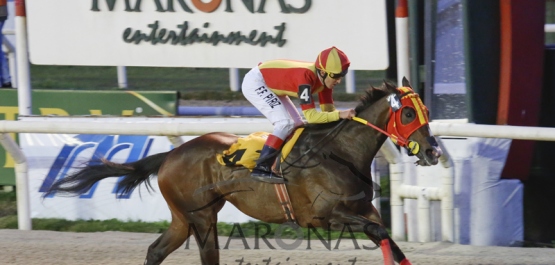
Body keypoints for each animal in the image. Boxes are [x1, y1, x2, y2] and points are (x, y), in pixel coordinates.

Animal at [43, 77, 444, 264]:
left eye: (425, 110)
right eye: (409, 113)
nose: (433, 151)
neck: (338, 152)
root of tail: (171, 154)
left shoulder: (364, 210)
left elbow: (388, 239)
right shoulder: (322, 216)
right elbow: (380, 232)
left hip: (183, 218)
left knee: (156, 251)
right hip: (200, 217)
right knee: (206, 257)